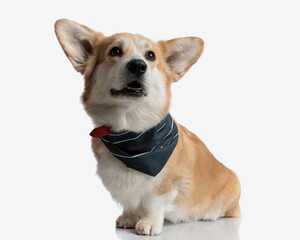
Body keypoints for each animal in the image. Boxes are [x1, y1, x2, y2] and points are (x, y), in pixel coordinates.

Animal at [54, 19, 241, 236]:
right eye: (115, 51)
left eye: (150, 55)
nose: (137, 65)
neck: (130, 133)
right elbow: (130, 202)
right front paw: (129, 217)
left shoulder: (166, 185)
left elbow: (153, 202)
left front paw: (149, 223)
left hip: (233, 184)